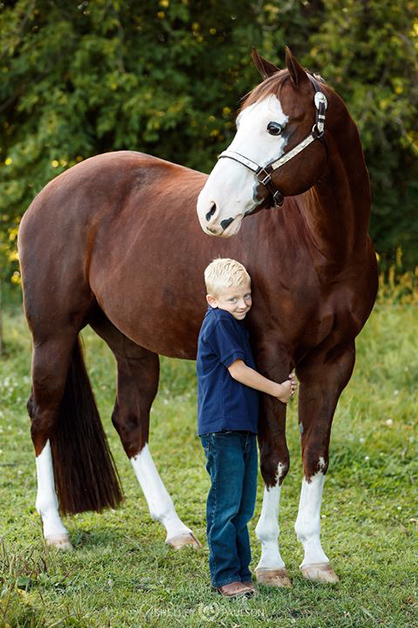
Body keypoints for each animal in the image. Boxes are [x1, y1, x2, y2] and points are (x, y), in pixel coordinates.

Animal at [18, 46, 378, 588]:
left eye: (275, 127)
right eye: (240, 122)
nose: (209, 209)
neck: (321, 250)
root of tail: (51, 189)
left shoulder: (335, 361)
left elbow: (314, 455)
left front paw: (315, 558)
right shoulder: (270, 356)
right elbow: (275, 458)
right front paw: (271, 562)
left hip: (132, 345)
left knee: (130, 421)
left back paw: (176, 529)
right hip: (52, 337)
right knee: (43, 415)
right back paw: (56, 530)